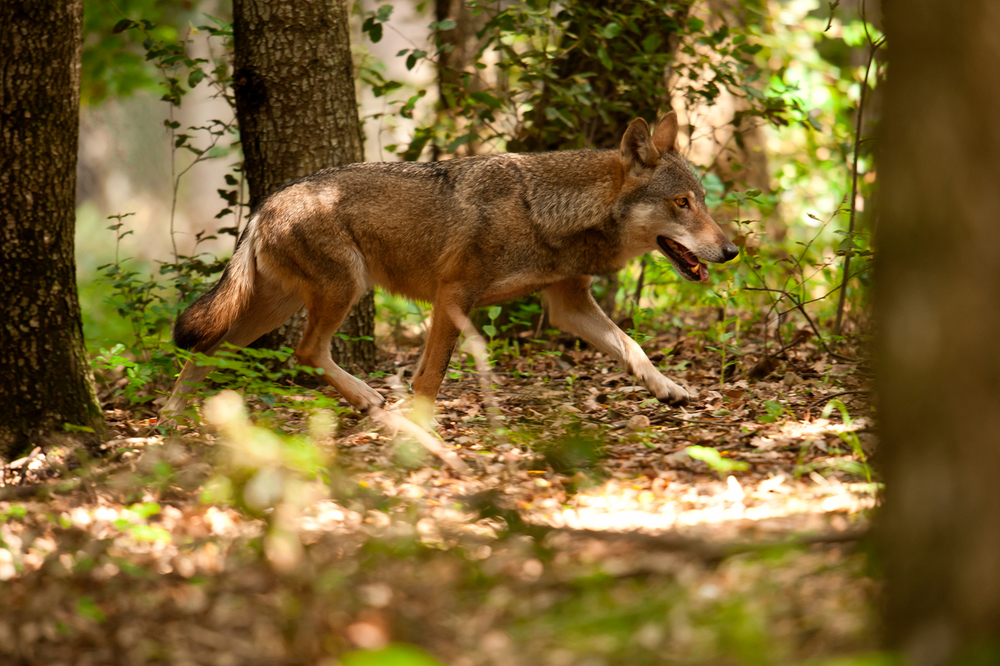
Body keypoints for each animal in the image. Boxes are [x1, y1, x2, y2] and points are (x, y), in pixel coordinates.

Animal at [162, 111, 736, 418]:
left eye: (703, 201)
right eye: (682, 203)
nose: (732, 251)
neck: (547, 211)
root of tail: (267, 201)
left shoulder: (567, 305)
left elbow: (632, 345)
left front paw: (667, 388)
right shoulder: (453, 296)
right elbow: (431, 377)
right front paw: (422, 431)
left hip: (273, 309)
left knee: (211, 347)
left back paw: (170, 419)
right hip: (342, 291)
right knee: (304, 352)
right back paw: (368, 400)